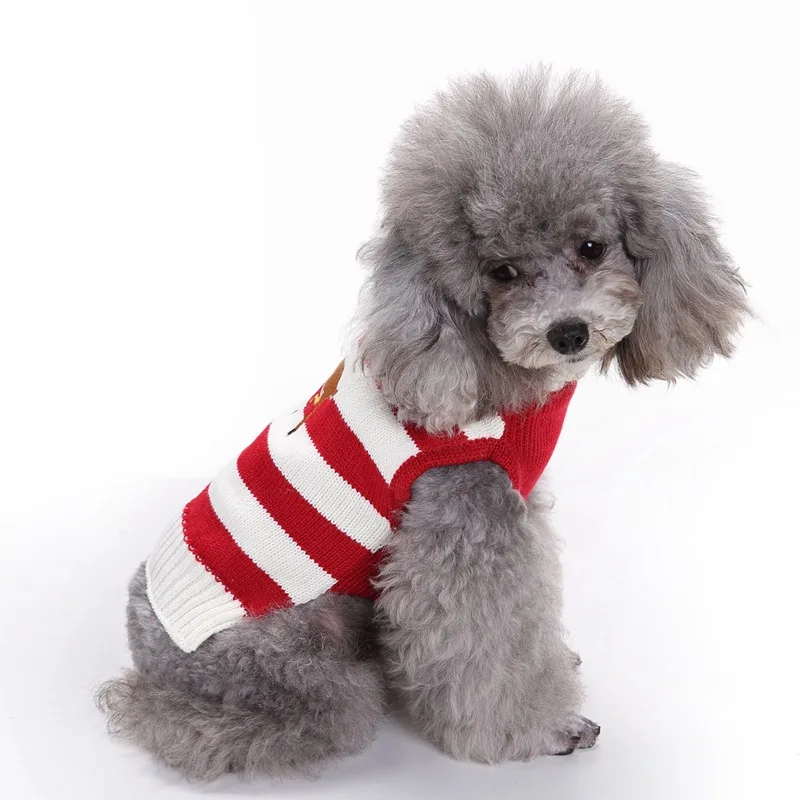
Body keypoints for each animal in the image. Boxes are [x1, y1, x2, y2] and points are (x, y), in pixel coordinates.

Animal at [98, 68, 750, 779]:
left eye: (591, 247)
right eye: (502, 272)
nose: (568, 331)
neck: (490, 377)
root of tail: (151, 664)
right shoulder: (462, 527)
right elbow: (487, 642)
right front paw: (539, 727)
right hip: (301, 657)